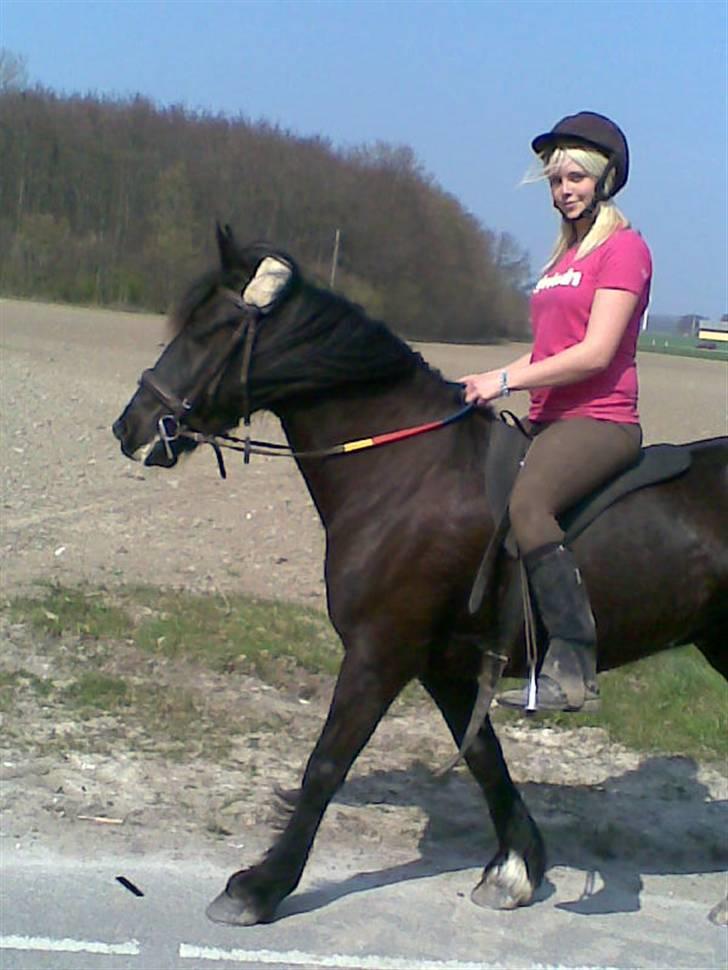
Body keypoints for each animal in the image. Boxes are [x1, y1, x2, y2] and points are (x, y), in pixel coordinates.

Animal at [112, 226, 728, 925]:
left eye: (210, 329)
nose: (132, 427)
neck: (409, 471)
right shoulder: (443, 664)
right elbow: (485, 759)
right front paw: (515, 869)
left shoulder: (380, 651)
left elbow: (327, 763)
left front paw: (259, 886)